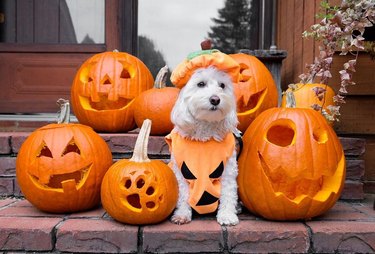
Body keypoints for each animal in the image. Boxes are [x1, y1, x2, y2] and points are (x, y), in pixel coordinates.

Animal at [168, 66, 241, 225]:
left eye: (222, 85)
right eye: (200, 84)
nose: (215, 99)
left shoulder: (228, 170)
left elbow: (228, 194)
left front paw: (227, 215)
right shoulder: (181, 172)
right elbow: (183, 196)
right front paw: (182, 215)